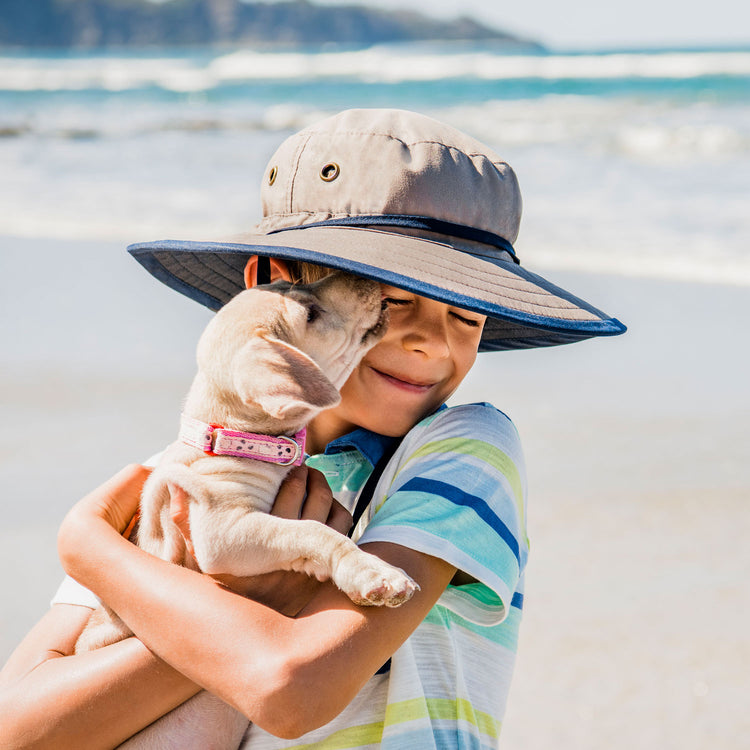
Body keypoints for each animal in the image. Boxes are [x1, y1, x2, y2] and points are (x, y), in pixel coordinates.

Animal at [77, 274, 424, 748]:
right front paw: (374, 573)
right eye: (310, 315)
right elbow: (315, 531)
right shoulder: (220, 531)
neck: (231, 434)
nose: (369, 279)